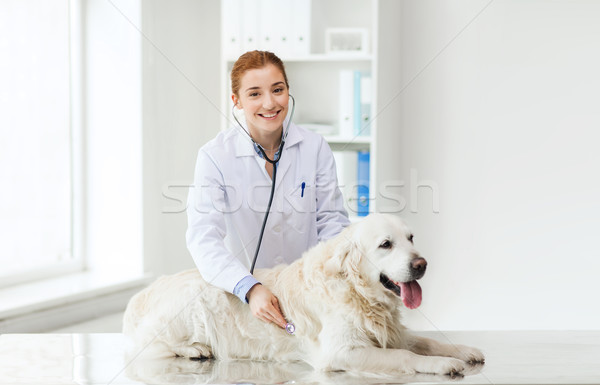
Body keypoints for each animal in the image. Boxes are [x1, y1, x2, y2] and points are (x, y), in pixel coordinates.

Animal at [122, 213, 482, 376]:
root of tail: (141, 294)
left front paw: (461, 350)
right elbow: (405, 356)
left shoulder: (392, 331)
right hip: (192, 300)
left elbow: (425, 341)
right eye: (385, 244)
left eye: (411, 238)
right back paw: (196, 349)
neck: (358, 293)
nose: (421, 264)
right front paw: (443, 364)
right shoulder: (340, 352)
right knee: (150, 346)